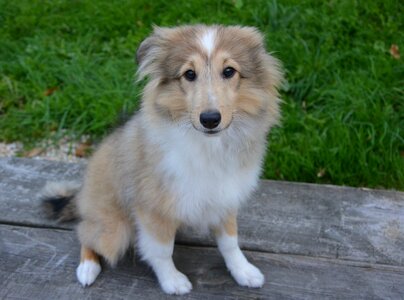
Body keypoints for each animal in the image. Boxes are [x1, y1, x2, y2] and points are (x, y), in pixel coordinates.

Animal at [41, 24, 280, 296]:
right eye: (189, 74)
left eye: (229, 71)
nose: (210, 119)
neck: (208, 145)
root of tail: (81, 195)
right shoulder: (153, 211)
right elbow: (162, 251)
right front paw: (172, 281)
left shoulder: (225, 198)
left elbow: (230, 242)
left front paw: (244, 272)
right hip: (114, 229)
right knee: (85, 235)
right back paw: (87, 268)